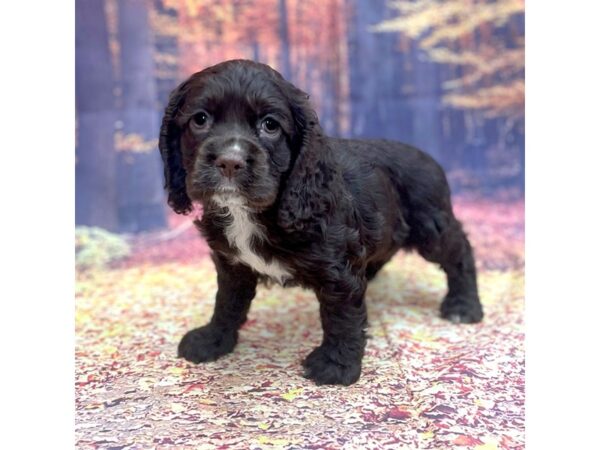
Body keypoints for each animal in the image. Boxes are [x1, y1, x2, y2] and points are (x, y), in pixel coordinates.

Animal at [159, 59, 482, 386]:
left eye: (270, 125)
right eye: (200, 119)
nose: (229, 162)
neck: (248, 213)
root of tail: (430, 158)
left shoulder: (338, 270)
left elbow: (341, 316)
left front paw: (335, 365)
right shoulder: (232, 264)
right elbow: (226, 303)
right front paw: (212, 340)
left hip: (431, 226)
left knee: (460, 252)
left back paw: (463, 305)